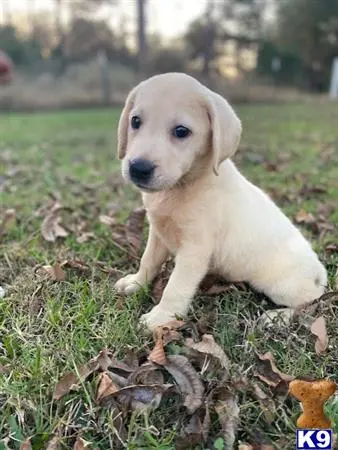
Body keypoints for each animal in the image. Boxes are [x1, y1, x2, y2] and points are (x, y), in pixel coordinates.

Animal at [114, 73, 328, 330]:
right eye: (135, 121)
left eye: (181, 131)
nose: (138, 168)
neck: (184, 186)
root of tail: (321, 275)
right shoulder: (158, 232)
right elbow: (148, 261)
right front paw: (136, 283)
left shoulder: (195, 250)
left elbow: (175, 287)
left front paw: (161, 317)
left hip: (284, 286)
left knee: (308, 304)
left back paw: (277, 317)